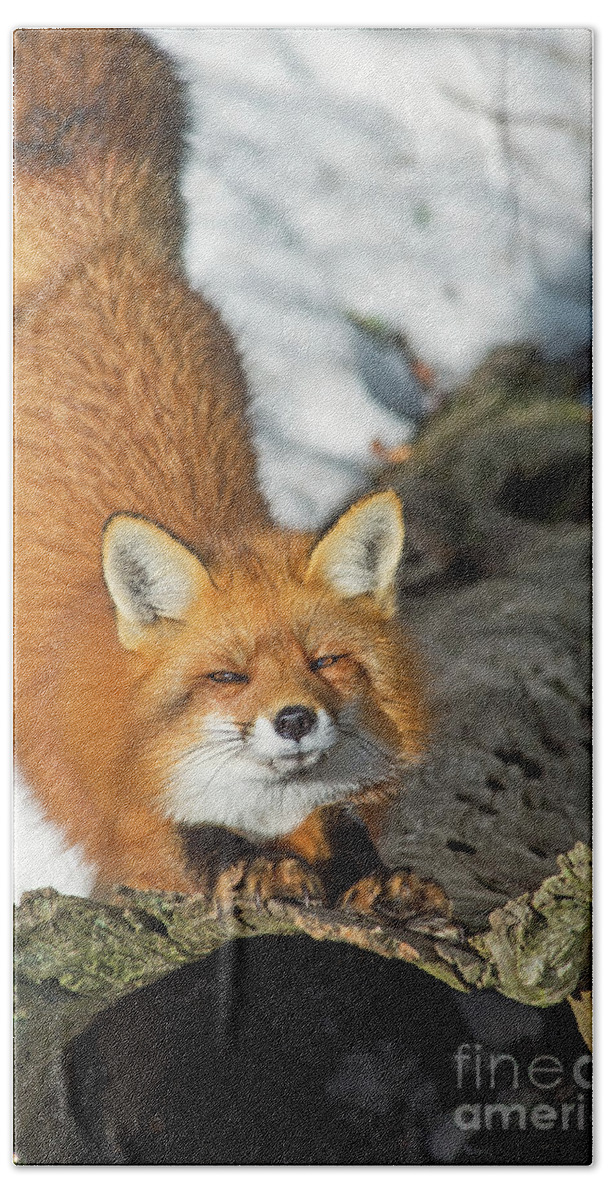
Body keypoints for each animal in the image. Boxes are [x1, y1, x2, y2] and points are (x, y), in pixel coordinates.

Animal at [13, 25, 443, 907]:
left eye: (326, 662)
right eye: (227, 677)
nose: (294, 719)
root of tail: (105, 260)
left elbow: (342, 824)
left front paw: (374, 876)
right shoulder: (125, 827)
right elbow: (186, 846)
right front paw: (250, 864)